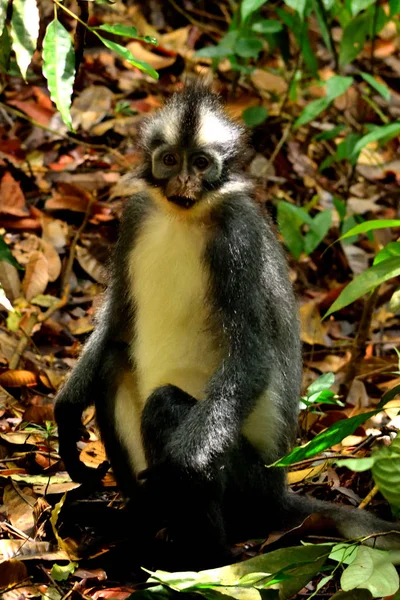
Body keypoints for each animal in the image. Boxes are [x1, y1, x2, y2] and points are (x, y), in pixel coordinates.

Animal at [54, 81, 400, 572]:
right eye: (170, 160)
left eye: (201, 164)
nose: (183, 183)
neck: (184, 216)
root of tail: (278, 494)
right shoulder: (135, 216)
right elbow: (116, 320)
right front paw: (66, 415)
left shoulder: (237, 239)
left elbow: (251, 360)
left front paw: (178, 471)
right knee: (113, 364)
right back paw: (137, 522)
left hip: (248, 484)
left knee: (164, 407)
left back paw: (198, 559)